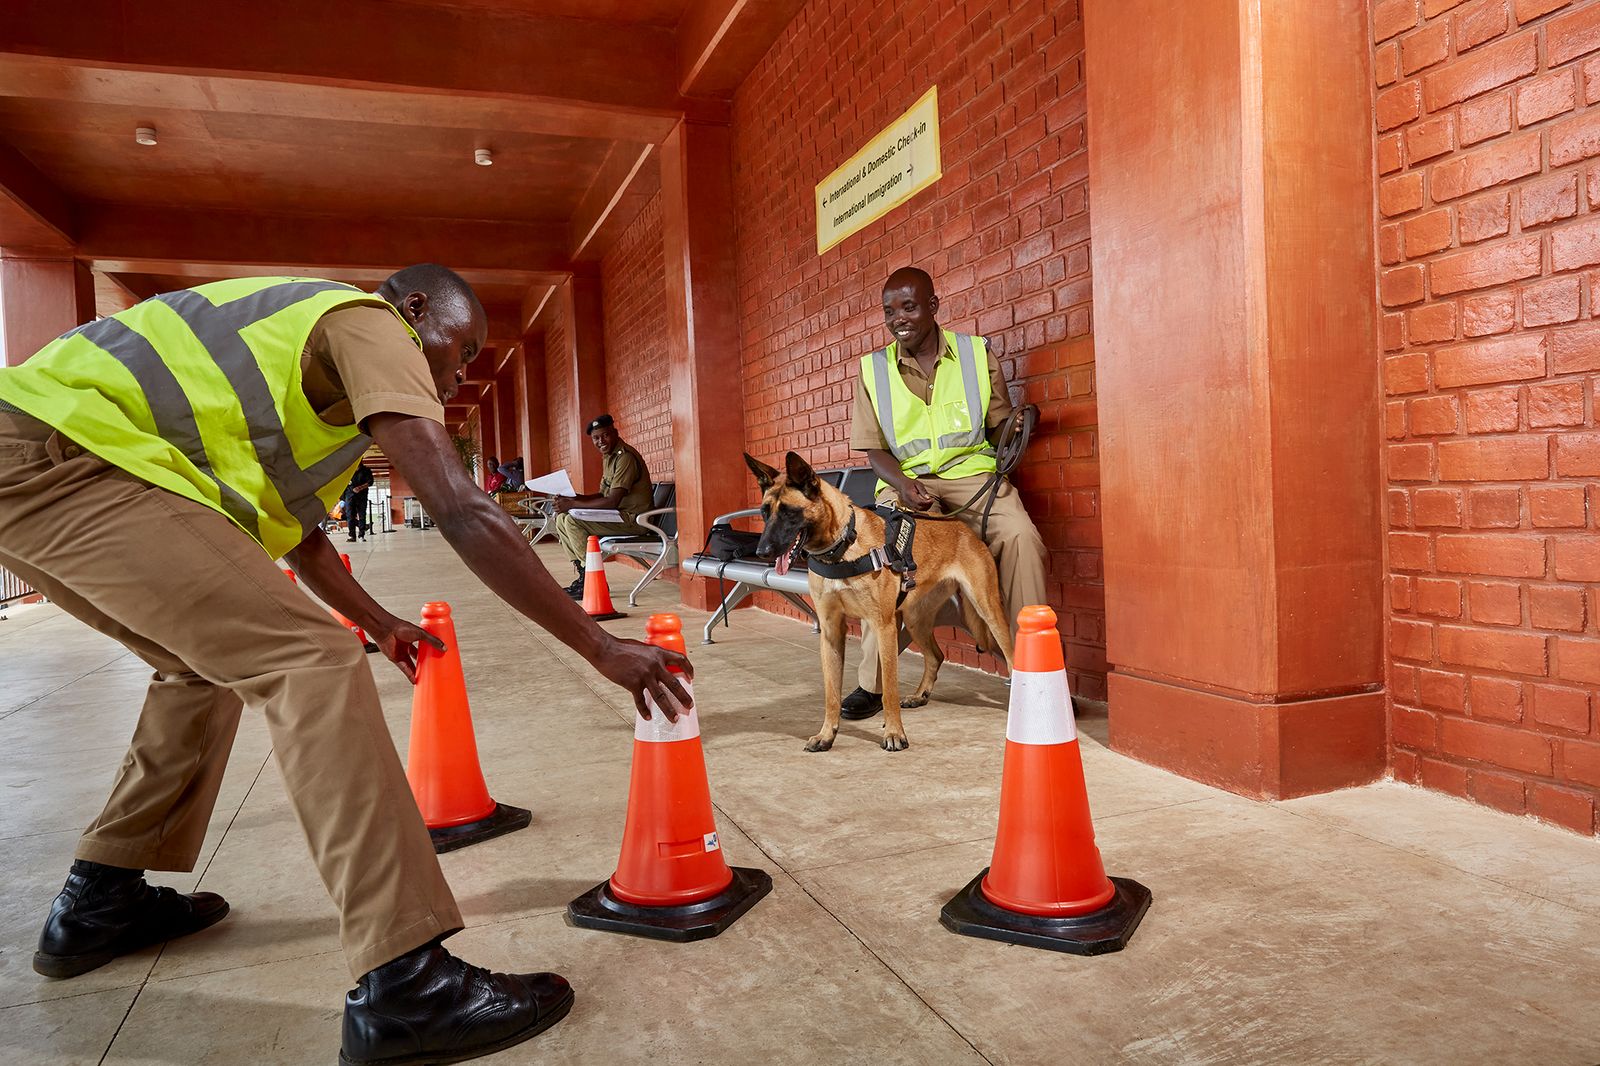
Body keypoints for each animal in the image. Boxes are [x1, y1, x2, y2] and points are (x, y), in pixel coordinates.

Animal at [745, 451, 1017, 752]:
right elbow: (831, 693)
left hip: (987, 609)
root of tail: (963, 528)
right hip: (915, 619)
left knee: (1010, 655)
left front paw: (894, 733)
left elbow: (888, 688)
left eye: (789, 513)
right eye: (764, 512)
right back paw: (920, 695)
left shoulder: (883, 626)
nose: (761, 551)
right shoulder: (830, 632)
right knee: (936, 655)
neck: (842, 548)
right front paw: (827, 734)